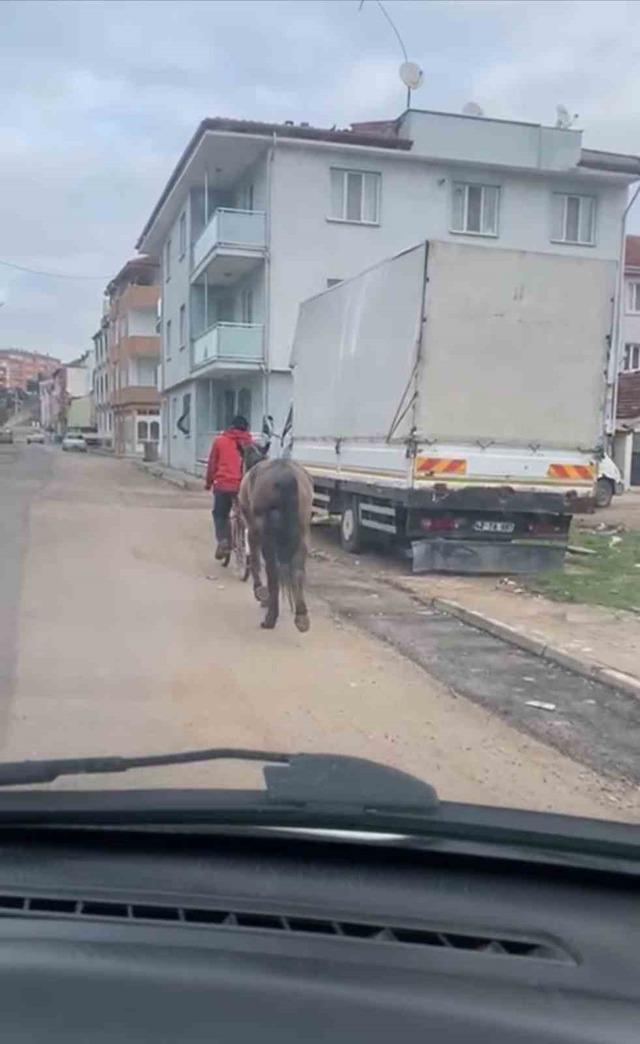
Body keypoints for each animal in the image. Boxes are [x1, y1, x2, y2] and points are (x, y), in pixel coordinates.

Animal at [236, 444, 311, 630]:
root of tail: (286, 475)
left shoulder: (253, 530)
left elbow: (254, 561)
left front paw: (260, 593)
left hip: (267, 536)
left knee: (273, 572)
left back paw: (270, 617)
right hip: (302, 533)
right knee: (298, 571)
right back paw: (301, 617)